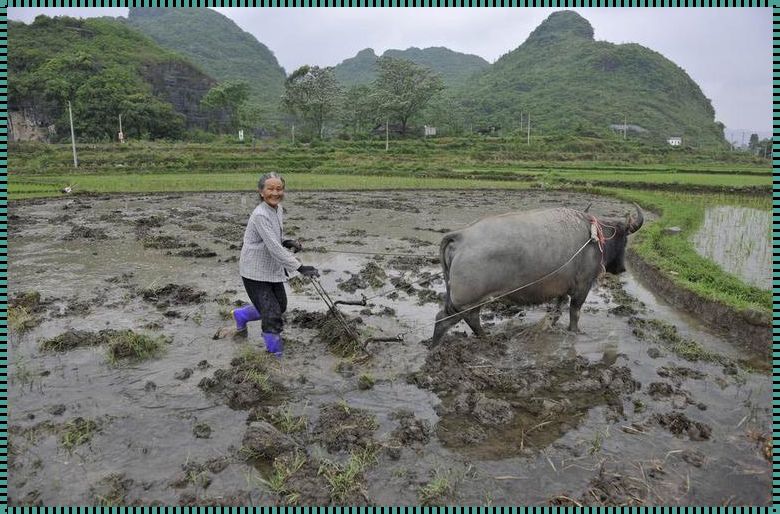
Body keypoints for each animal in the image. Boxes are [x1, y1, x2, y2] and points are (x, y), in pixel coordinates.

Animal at [430, 204, 644, 344]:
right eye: (624, 239)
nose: (622, 269)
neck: (593, 237)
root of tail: (461, 236)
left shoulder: (562, 289)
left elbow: (557, 310)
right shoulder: (583, 286)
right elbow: (575, 313)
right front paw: (575, 332)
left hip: (472, 302)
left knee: (470, 319)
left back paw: (483, 337)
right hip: (466, 301)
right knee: (444, 319)